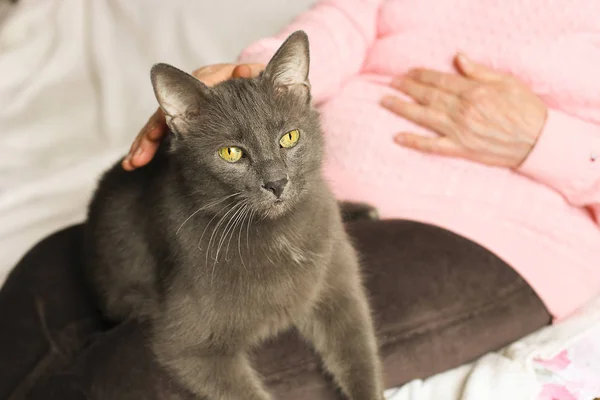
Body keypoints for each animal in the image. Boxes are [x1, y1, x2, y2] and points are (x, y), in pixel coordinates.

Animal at [84, 31, 384, 400]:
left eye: (289, 137)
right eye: (231, 153)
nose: (276, 182)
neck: (279, 235)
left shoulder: (339, 291)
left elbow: (360, 358)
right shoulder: (190, 347)